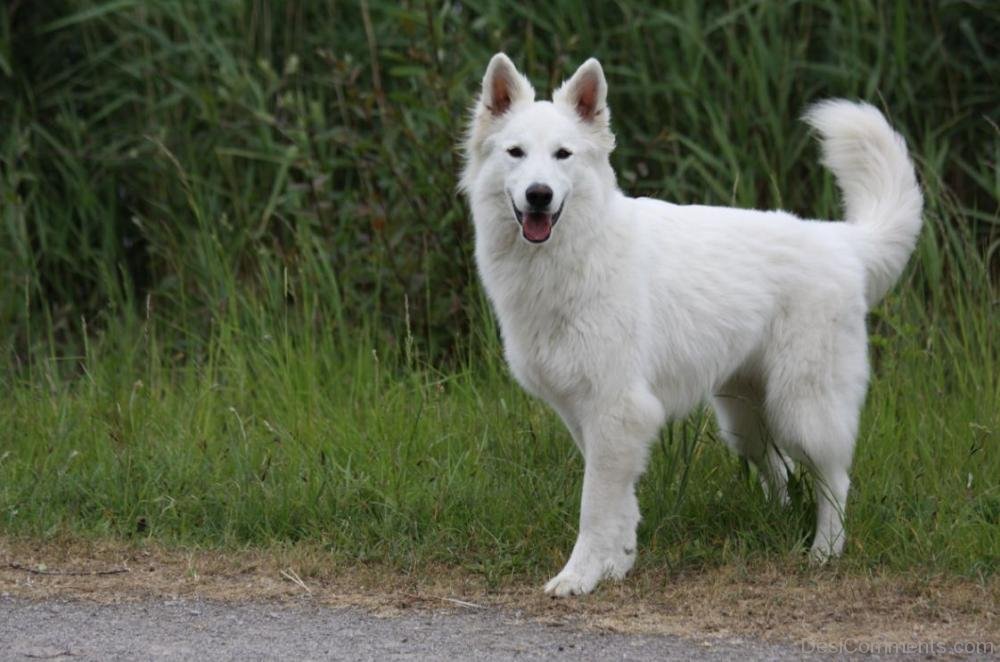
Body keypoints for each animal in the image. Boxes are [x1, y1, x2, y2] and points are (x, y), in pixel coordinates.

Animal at [460, 54, 920, 600]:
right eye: (515, 153)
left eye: (562, 154)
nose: (538, 195)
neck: (577, 253)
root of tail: (842, 240)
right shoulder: (592, 418)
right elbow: (620, 504)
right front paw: (617, 564)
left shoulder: (618, 411)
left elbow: (594, 508)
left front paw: (578, 576)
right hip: (744, 419)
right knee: (781, 472)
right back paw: (776, 523)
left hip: (803, 409)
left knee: (836, 480)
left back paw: (824, 553)